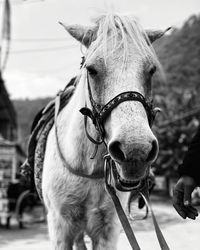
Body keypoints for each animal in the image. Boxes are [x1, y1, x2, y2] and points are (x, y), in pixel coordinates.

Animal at [41, 12, 167, 250]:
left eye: (151, 70)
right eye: (91, 70)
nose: (135, 150)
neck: (87, 168)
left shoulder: (108, 228)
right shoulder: (60, 227)